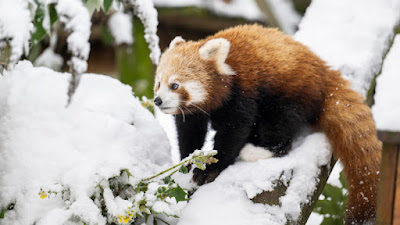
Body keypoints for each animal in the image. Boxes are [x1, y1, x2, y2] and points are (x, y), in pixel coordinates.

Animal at [152, 24, 382, 225]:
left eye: (175, 85)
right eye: (159, 83)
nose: (158, 101)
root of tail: (324, 72)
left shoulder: (242, 93)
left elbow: (233, 132)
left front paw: (209, 170)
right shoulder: (193, 114)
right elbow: (189, 134)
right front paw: (186, 164)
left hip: (289, 93)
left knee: (281, 124)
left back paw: (257, 150)